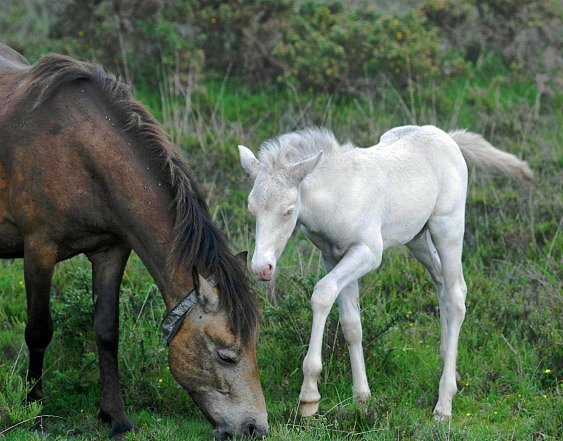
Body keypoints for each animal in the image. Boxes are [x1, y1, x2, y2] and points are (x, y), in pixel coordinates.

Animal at [0, 43, 268, 438]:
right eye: (226, 353)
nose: (256, 428)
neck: (78, 150)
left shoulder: (111, 250)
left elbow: (107, 331)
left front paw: (116, 418)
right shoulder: (39, 249)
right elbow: (38, 331)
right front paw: (35, 412)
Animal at [238, 124, 532, 420]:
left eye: (288, 211)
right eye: (251, 208)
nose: (261, 268)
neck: (337, 194)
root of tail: (448, 137)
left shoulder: (368, 251)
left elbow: (322, 293)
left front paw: (309, 396)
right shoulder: (332, 255)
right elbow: (351, 323)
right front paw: (362, 397)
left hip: (448, 226)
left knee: (456, 295)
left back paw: (444, 403)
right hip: (417, 237)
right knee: (441, 284)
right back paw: (451, 368)